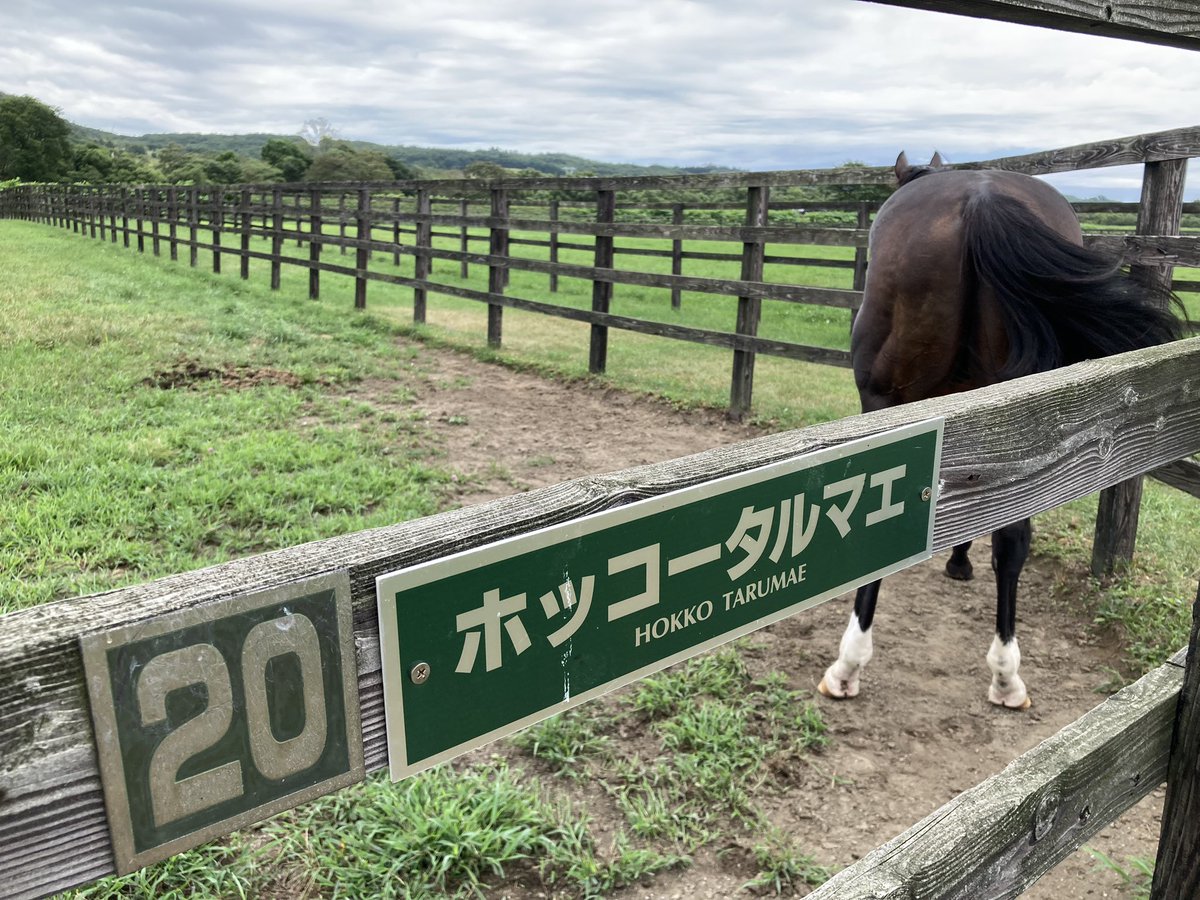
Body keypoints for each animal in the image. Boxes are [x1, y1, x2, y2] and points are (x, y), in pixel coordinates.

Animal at [818, 151, 1184, 709]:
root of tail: (980, 200)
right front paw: (961, 559)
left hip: (888, 401)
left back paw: (848, 665)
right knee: (1013, 536)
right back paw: (1007, 676)